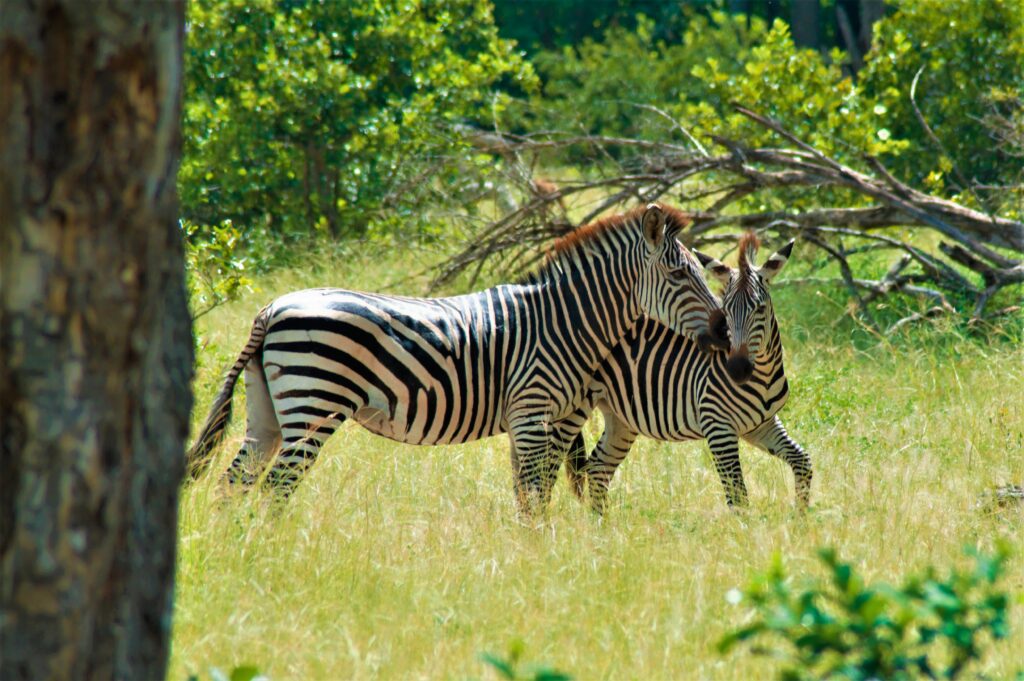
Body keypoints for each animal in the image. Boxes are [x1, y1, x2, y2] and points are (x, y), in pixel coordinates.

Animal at [186, 204, 729, 512]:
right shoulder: (532, 414)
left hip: (268, 414)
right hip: (313, 404)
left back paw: (241, 556)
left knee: (234, 485)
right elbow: (534, 496)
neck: (563, 321)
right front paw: (538, 559)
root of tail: (271, 308)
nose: (725, 332)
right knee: (274, 489)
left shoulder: (534, 421)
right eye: (680, 275)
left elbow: (530, 493)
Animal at [565, 233, 811, 509]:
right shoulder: (718, 428)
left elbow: (803, 462)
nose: (737, 370)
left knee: (597, 466)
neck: (765, 377)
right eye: (725, 309)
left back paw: (602, 521)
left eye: (759, 308)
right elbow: (738, 497)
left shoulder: (760, 425)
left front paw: (800, 515)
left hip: (620, 415)